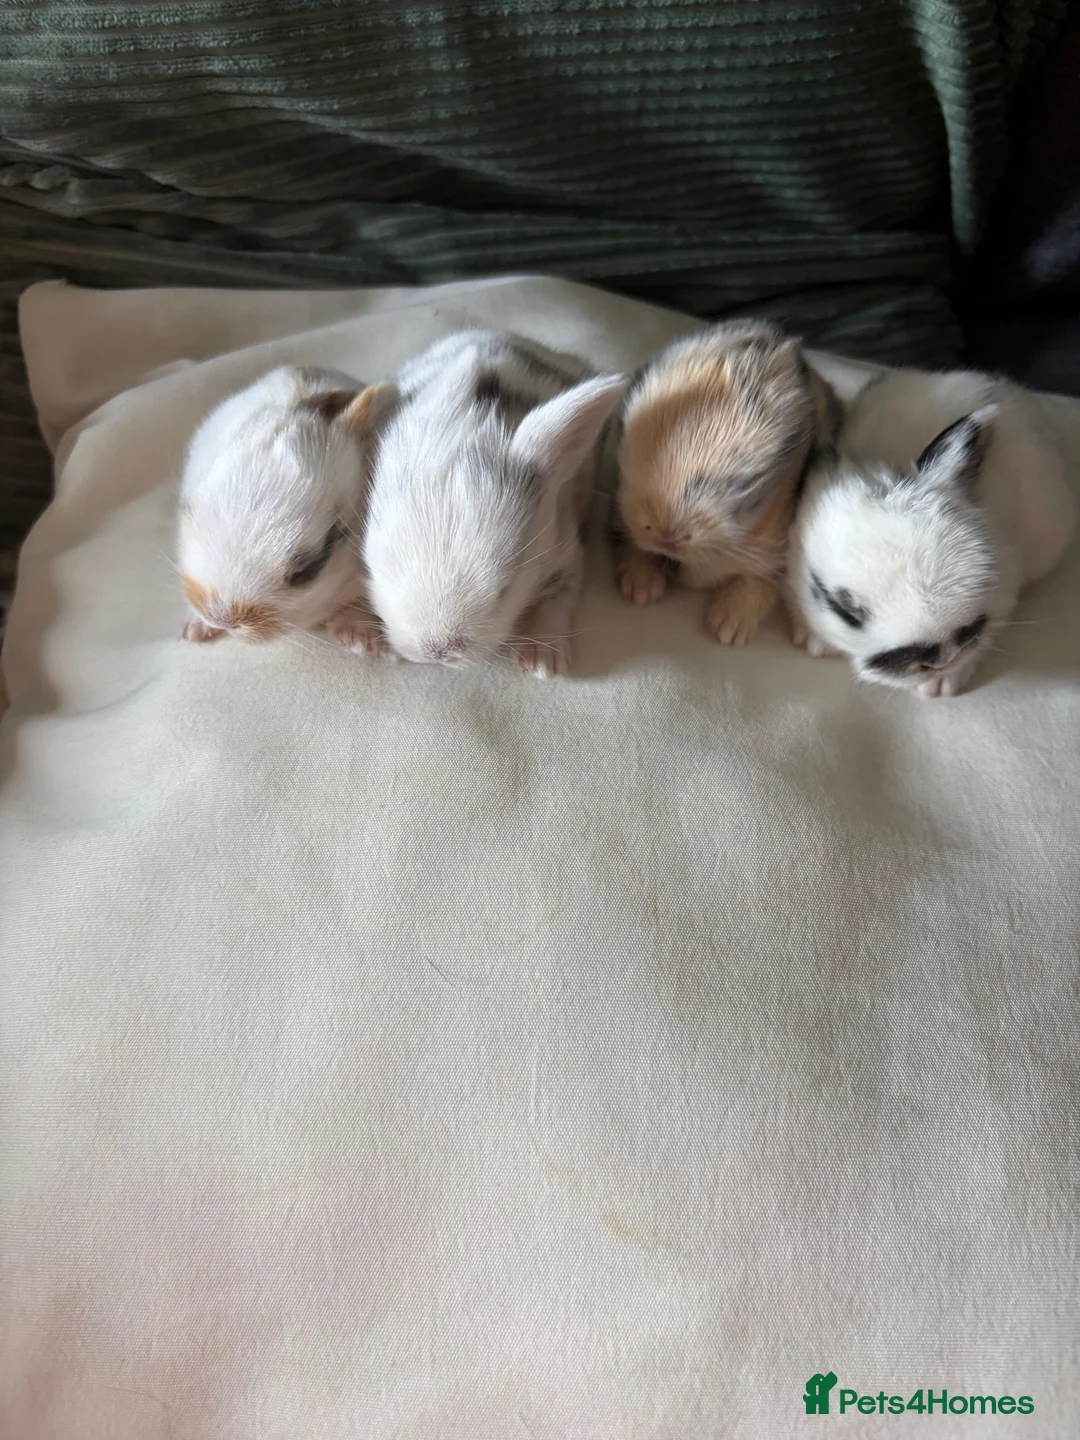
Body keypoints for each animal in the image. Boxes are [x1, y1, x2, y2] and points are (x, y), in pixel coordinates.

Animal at [362, 330, 627, 677]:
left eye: (505, 590)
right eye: (375, 567)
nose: (438, 651)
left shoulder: (566, 552)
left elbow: (557, 598)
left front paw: (542, 660)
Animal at [612, 318, 840, 645]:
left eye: (746, 484)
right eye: (623, 435)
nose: (667, 535)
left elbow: (756, 582)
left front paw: (727, 629)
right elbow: (635, 547)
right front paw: (641, 590)